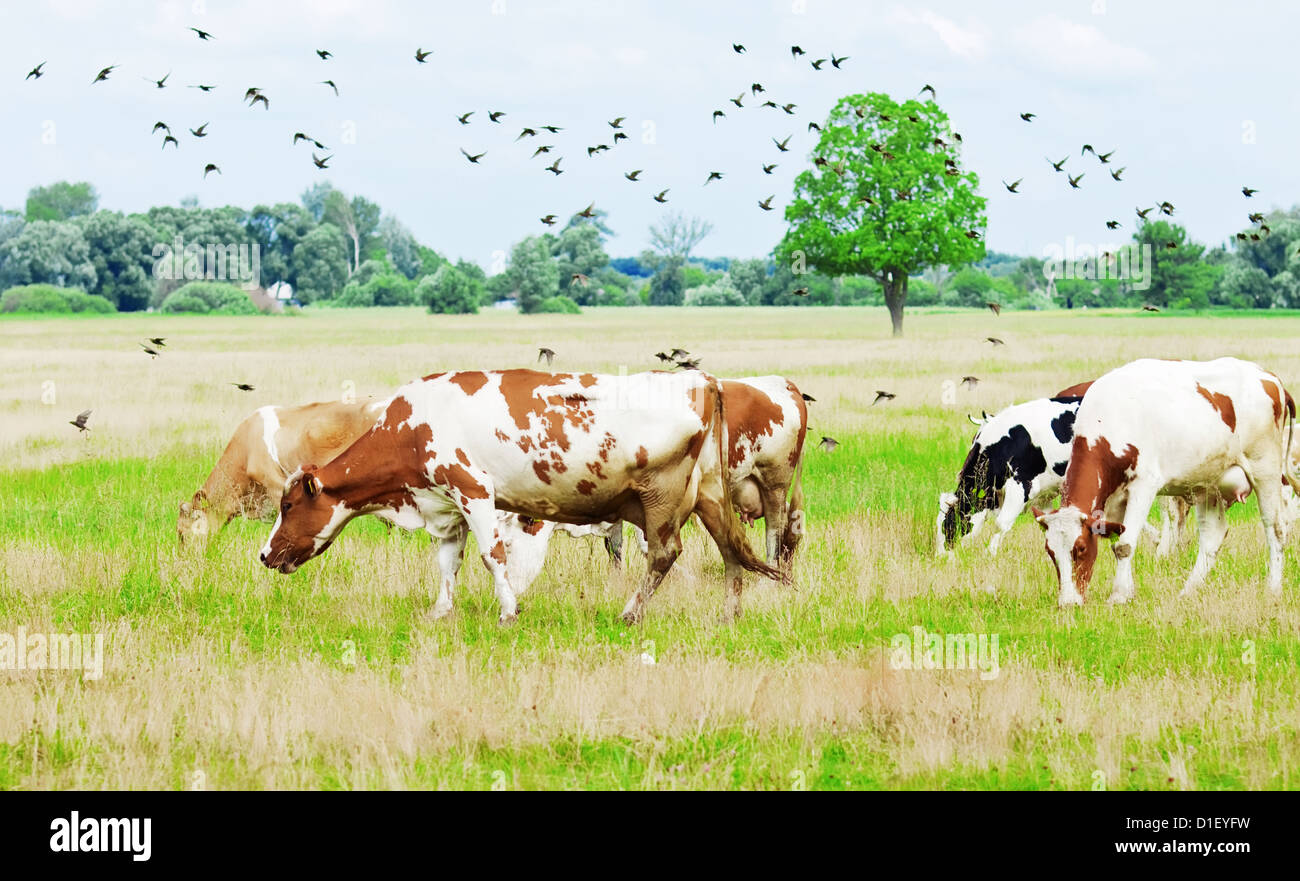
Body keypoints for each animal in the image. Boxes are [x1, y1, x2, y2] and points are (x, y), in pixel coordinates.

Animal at [258, 370, 783, 624]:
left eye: (288, 506)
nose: (264, 554)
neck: (415, 424)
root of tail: (700, 378)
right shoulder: (447, 504)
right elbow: (448, 561)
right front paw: (440, 611)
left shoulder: (474, 490)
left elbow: (492, 556)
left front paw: (508, 611)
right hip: (710, 496)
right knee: (731, 552)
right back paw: (729, 615)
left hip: (661, 496)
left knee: (664, 554)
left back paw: (631, 612)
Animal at [1033, 357, 1296, 607]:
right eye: (1050, 552)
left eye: (1081, 548)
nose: (1068, 603)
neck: (1110, 419)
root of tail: (1268, 377)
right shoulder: (1114, 499)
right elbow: (1118, 541)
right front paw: (1128, 591)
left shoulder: (1144, 486)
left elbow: (1125, 545)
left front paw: (1118, 595)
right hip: (1208, 484)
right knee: (1213, 537)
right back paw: (1188, 591)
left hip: (1265, 470)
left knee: (1276, 528)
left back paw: (1273, 589)